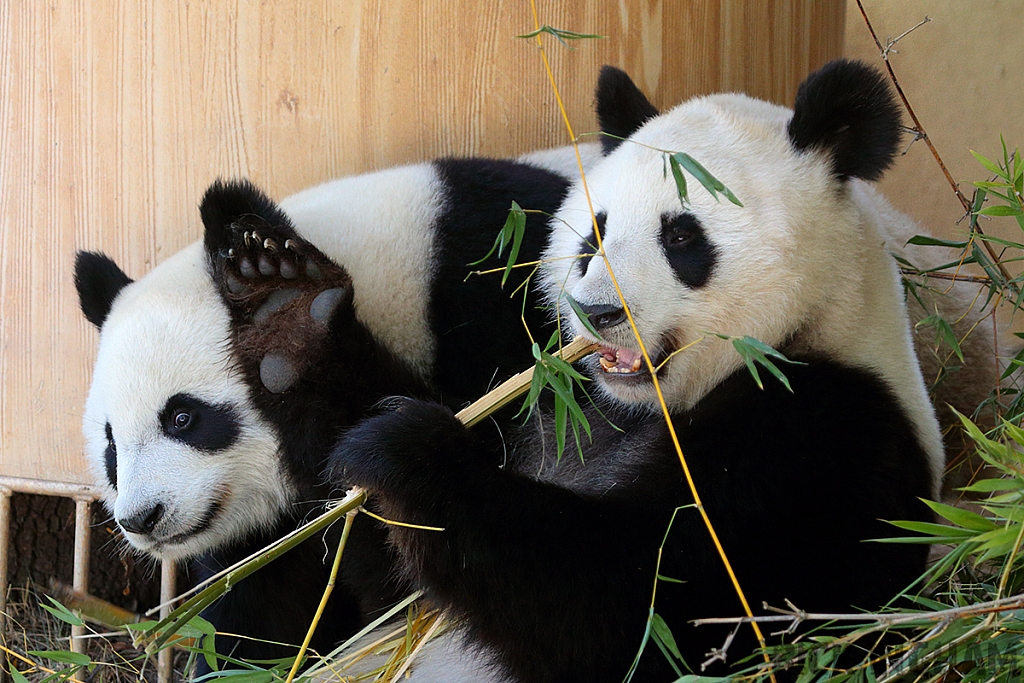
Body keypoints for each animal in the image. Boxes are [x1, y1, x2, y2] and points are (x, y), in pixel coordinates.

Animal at [74, 145, 606, 671]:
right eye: (110, 446)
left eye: (183, 418)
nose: (142, 518)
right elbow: (261, 612)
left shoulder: (501, 305)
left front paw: (290, 323)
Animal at [331, 60, 946, 683]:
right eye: (595, 233)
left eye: (680, 236)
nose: (598, 312)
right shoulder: (557, 405)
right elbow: (380, 594)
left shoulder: (824, 441)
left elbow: (646, 612)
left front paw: (405, 450)